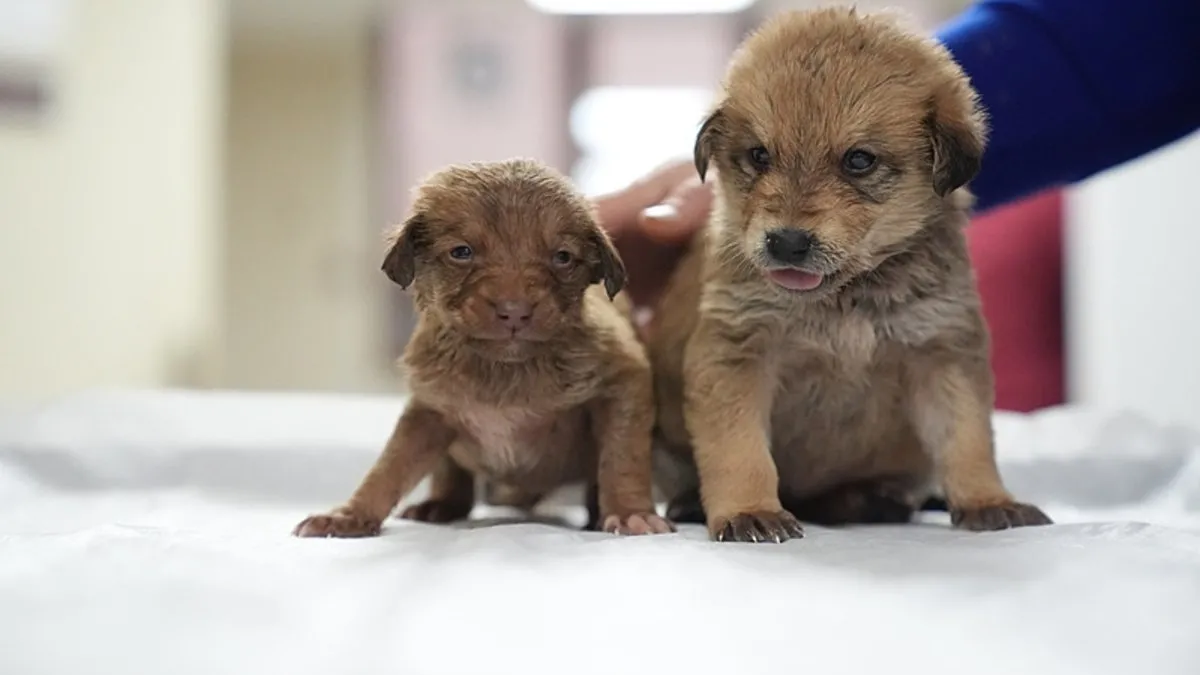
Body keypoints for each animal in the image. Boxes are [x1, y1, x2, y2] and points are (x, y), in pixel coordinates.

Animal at [292, 157, 676, 535]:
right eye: (462, 252)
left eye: (563, 257)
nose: (515, 310)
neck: (504, 367)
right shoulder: (428, 409)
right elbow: (391, 466)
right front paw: (350, 513)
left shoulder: (623, 382)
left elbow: (621, 457)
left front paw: (629, 511)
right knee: (451, 475)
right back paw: (440, 505)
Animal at [648, 6, 1051, 540]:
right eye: (759, 155)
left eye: (859, 160)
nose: (786, 242)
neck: (846, 299)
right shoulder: (737, 352)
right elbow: (740, 450)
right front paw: (748, 511)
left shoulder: (942, 352)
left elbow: (967, 440)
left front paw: (989, 501)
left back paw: (869, 500)